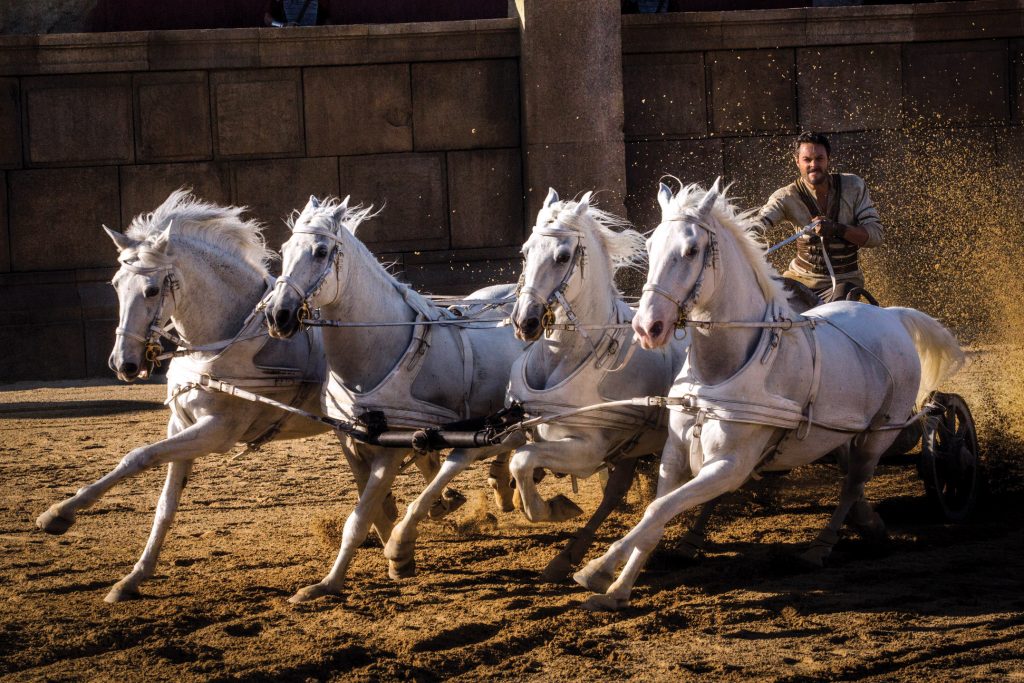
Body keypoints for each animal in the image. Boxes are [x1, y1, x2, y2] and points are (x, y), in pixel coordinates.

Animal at [264, 194, 528, 602]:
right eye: (284, 248)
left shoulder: (393, 443)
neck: (380, 347)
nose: (278, 315)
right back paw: (494, 487)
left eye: (321, 251)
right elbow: (373, 510)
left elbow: (359, 518)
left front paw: (343, 578)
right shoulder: (350, 439)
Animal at [505, 188, 684, 581]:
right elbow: (517, 459)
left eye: (563, 256)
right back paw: (568, 556)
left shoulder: (588, 450)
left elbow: (522, 462)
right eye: (524, 251)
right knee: (615, 492)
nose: (525, 322)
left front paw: (553, 507)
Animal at [577, 180, 966, 610]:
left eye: (692, 250)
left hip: (879, 433)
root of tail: (891, 315)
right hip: (843, 433)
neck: (719, 372)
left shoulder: (731, 465)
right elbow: (654, 514)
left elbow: (660, 509)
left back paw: (821, 547)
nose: (648, 327)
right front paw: (617, 588)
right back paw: (866, 526)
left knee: (854, 483)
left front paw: (596, 568)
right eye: (650, 246)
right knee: (849, 476)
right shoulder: (675, 454)